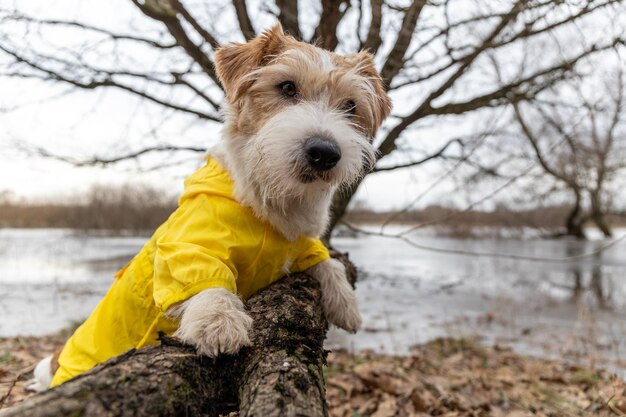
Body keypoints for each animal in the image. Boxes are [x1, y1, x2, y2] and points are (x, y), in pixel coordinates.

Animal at [29, 23, 390, 390]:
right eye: (287, 87)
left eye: (350, 106)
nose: (325, 153)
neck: (269, 203)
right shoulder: (185, 246)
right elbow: (203, 278)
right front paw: (218, 321)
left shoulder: (300, 243)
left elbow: (327, 261)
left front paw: (346, 304)